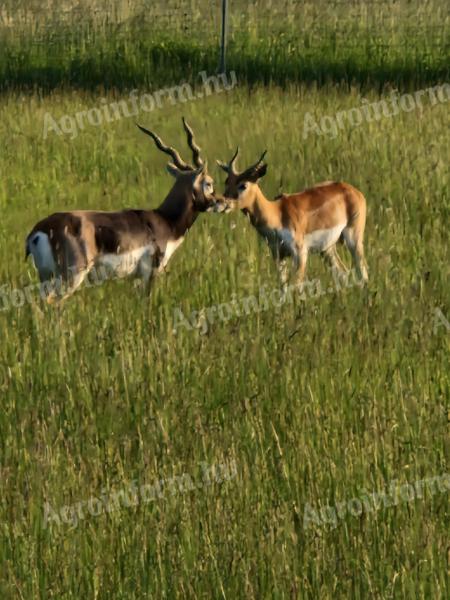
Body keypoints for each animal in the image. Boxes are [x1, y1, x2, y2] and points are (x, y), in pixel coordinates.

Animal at [24, 119, 218, 302]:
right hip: (70, 277)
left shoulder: (136, 278)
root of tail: (39, 230)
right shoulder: (151, 273)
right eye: (209, 183)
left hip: (45, 276)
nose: (219, 202)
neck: (165, 221)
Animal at [214, 150, 370, 288]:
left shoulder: (300, 254)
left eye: (243, 185)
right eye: (227, 182)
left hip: (354, 240)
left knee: (362, 273)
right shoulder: (278, 255)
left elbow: (296, 288)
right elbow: (283, 288)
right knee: (343, 273)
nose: (221, 202)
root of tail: (354, 191)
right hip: (327, 249)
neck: (276, 214)